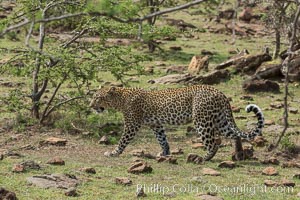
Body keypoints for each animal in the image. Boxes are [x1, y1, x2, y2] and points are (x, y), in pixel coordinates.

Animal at [90, 84, 264, 161]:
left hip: (202, 120)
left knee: (214, 142)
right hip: (220, 119)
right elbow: (162, 139)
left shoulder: (132, 125)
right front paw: (165, 153)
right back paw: (239, 154)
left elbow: (122, 141)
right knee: (235, 135)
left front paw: (113, 152)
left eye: (97, 97)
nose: (91, 105)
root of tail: (219, 92)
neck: (120, 99)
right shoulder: (156, 125)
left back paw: (203, 158)